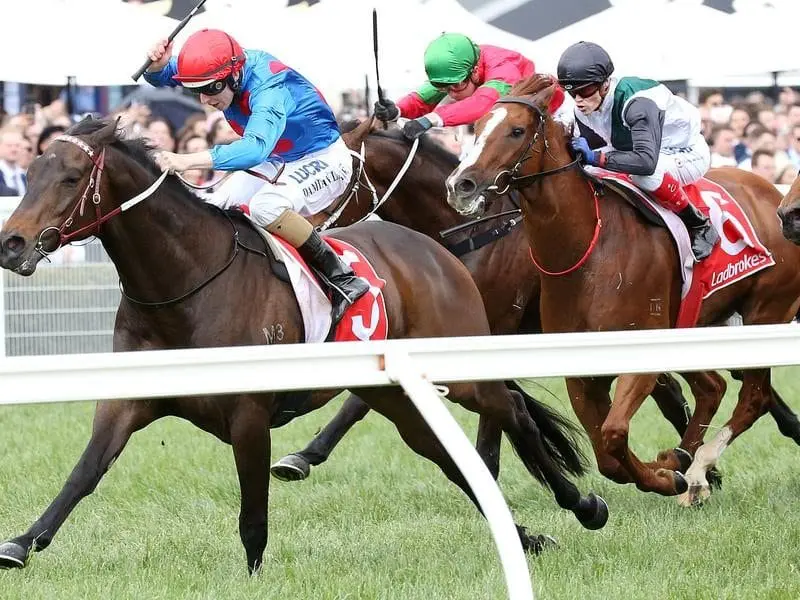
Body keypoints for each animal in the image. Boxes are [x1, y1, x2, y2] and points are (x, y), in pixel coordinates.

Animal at [0, 117, 608, 572]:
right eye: (27, 172)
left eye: (71, 177)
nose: (12, 243)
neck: (185, 283)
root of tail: (436, 249)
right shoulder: (125, 400)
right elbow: (83, 474)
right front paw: (21, 544)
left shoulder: (248, 414)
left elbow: (253, 516)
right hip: (399, 398)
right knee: (452, 459)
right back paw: (526, 535)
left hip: (459, 369)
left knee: (512, 412)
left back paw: (585, 507)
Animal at [446, 75, 800, 506]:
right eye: (477, 127)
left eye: (516, 130)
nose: (461, 185)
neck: (588, 250)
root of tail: (775, 195)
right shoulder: (581, 374)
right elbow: (607, 458)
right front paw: (667, 468)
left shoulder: (640, 357)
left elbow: (614, 436)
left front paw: (669, 474)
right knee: (714, 388)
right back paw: (688, 463)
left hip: (766, 311)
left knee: (753, 398)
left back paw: (696, 468)